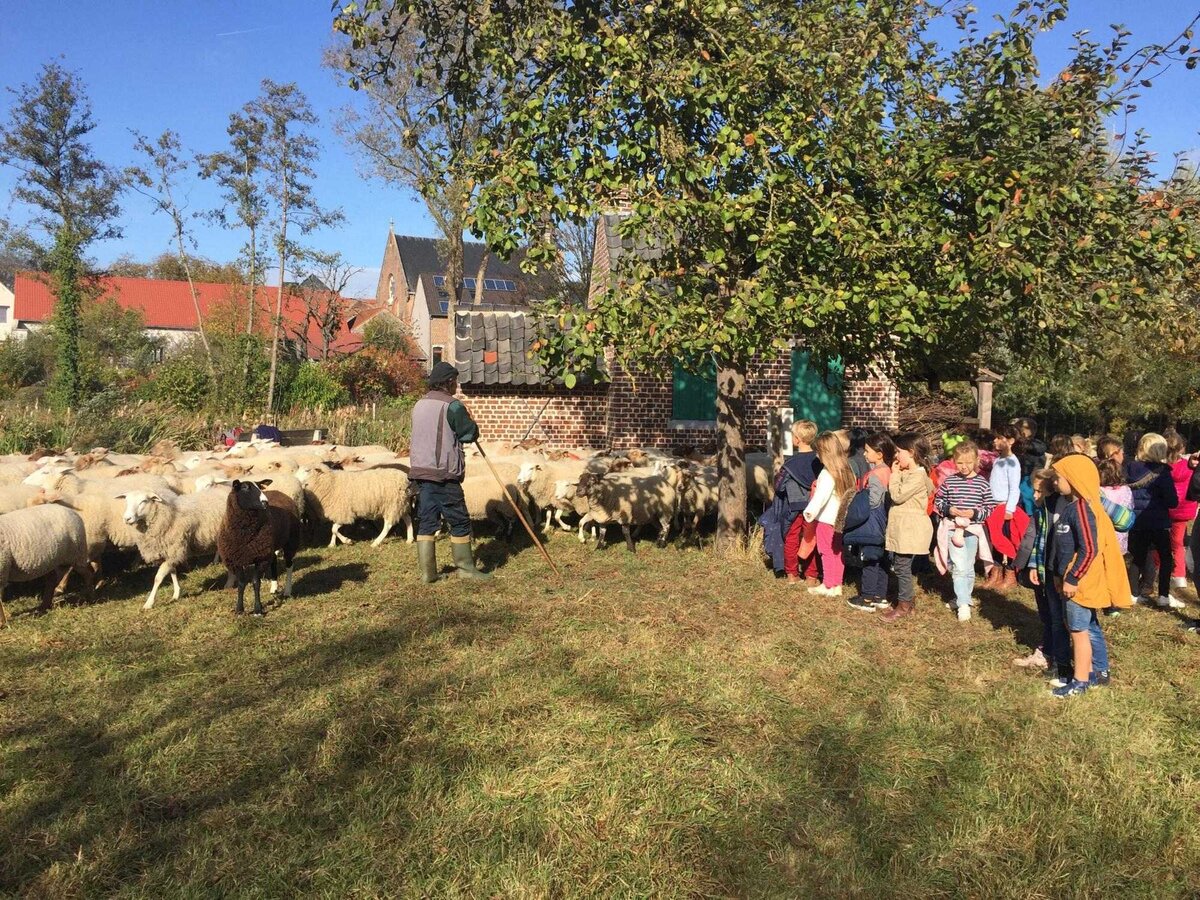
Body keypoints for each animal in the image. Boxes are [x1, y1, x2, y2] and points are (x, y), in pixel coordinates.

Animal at [217, 481, 301, 616]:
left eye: (259, 487)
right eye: (245, 487)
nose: (265, 502)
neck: (244, 536)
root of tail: (279, 492)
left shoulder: (260, 559)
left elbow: (256, 582)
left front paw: (258, 610)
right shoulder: (236, 560)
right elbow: (241, 583)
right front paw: (239, 610)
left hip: (291, 542)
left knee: (289, 565)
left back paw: (288, 591)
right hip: (270, 547)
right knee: (274, 562)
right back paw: (274, 588)